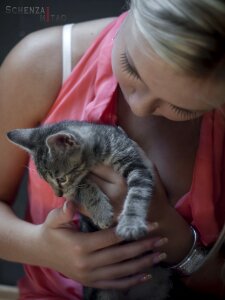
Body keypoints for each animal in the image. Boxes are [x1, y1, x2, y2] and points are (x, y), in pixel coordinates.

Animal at [7, 120, 171, 298]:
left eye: (61, 179)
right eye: (47, 181)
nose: (59, 195)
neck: (97, 156)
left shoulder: (137, 165)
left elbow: (138, 194)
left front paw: (131, 223)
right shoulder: (74, 191)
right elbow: (82, 186)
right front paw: (101, 211)